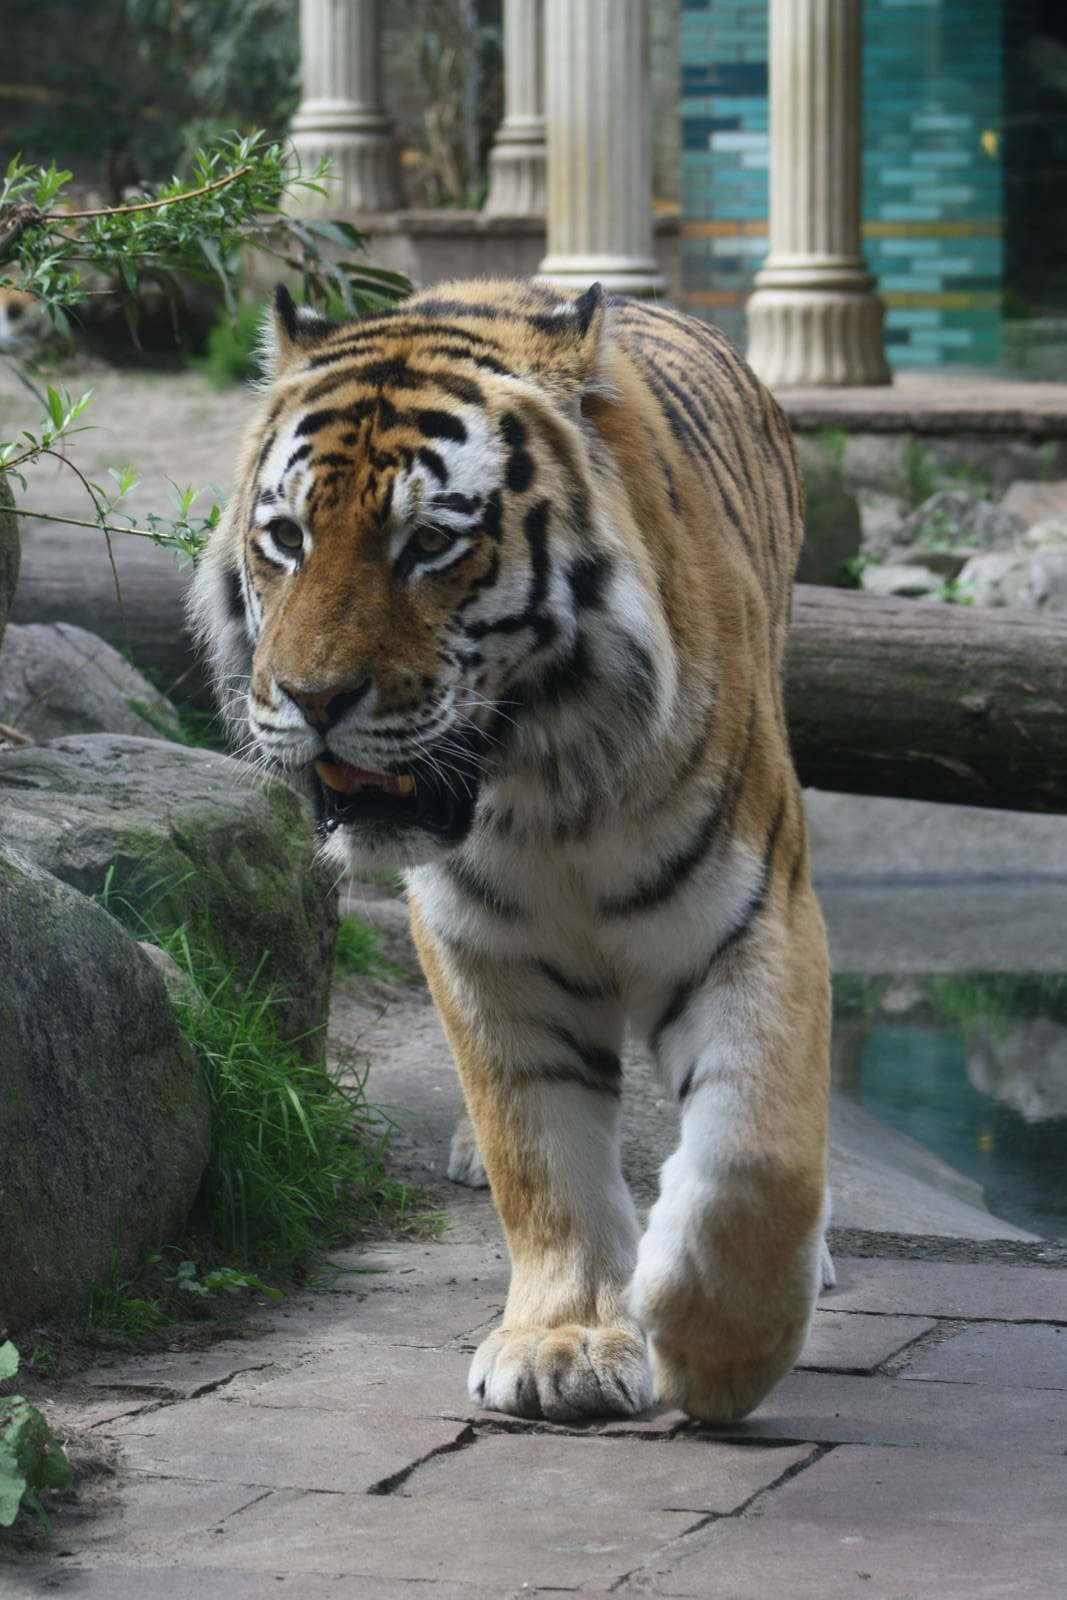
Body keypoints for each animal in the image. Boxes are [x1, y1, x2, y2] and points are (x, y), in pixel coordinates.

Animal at [190, 277, 831, 1424]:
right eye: (286, 537)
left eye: (428, 544)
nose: (310, 699)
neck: (545, 788)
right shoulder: (482, 946)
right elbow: (534, 1148)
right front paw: (564, 1343)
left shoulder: (751, 913)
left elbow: (758, 1147)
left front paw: (716, 1353)